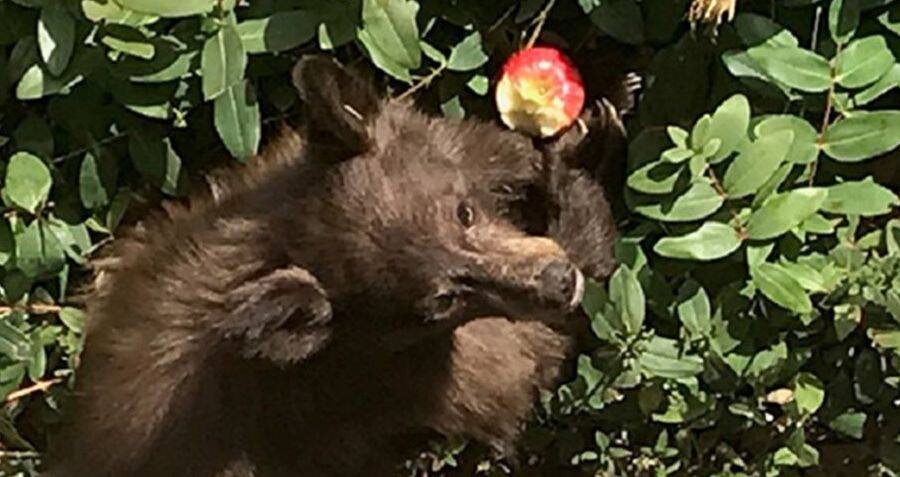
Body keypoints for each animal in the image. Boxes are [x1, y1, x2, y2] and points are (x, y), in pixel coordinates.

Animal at [44, 55, 625, 477]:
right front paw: (578, 183)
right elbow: (525, 357)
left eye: (463, 211)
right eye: (440, 302)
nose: (559, 282)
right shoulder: (421, 380)